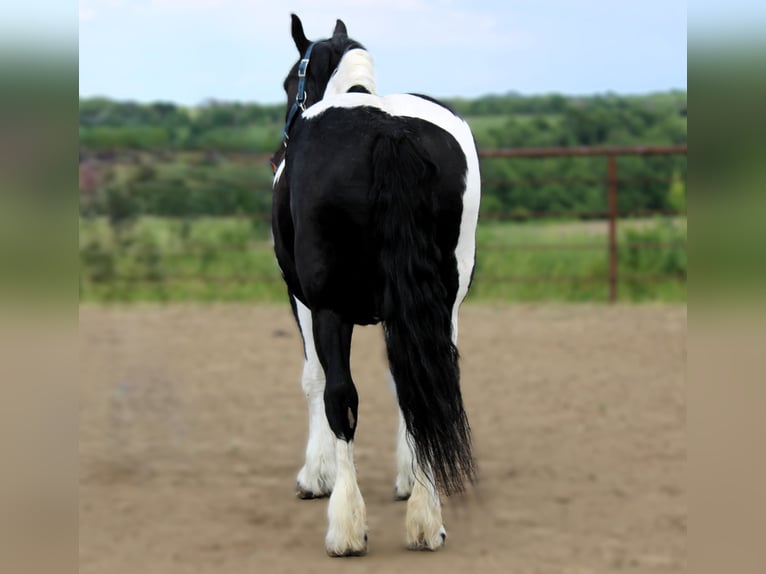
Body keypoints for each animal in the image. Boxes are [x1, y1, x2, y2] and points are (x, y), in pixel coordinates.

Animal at [271, 14, 481, 557]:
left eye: (291, 81)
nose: (279, 150)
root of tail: (390, 131)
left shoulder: (304, 301)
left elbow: (316, 381)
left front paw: (315, 477)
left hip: (329, 307)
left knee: (341, 396)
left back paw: (345, 529)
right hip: (444, 302)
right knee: (426, 384)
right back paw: (427, 520)